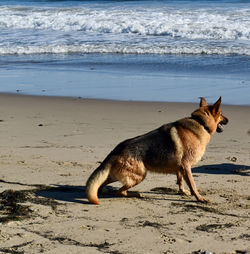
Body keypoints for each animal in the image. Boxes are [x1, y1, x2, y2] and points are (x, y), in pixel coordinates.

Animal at [86, 96, 229, 204]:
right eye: (221, 114)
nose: (229, 120)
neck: (200, 122)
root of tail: (116, 150)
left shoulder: (180, 168)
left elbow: (180, 181)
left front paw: (182, 191)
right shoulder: (186, 166)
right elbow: (192, 184)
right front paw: (199, 198)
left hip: (119, 175)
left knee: (103, 186)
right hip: (140, 175)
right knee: (119, 191)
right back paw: (136, 194)